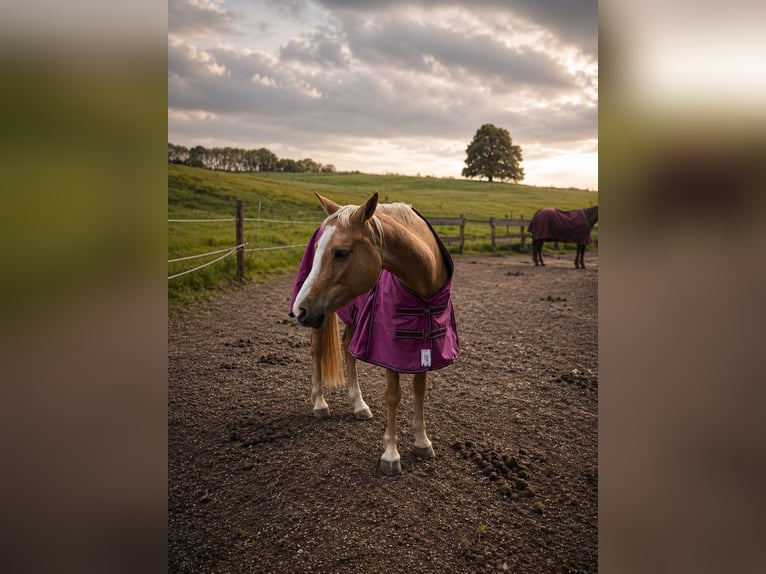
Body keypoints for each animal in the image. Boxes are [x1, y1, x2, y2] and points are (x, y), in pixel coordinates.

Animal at [290, 192, 459, 475]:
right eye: (318, 250)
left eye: (341, 252)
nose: (299, 309)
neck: (422, 290)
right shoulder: (389, 350)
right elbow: (393, 396)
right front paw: (391, 454)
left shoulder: (423, 346)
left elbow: (420, 390)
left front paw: (422, 441)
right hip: (323, 319)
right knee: (317, 351)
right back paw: (320, 404)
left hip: (353, 315)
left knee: (348, 350)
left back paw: (358, 404)